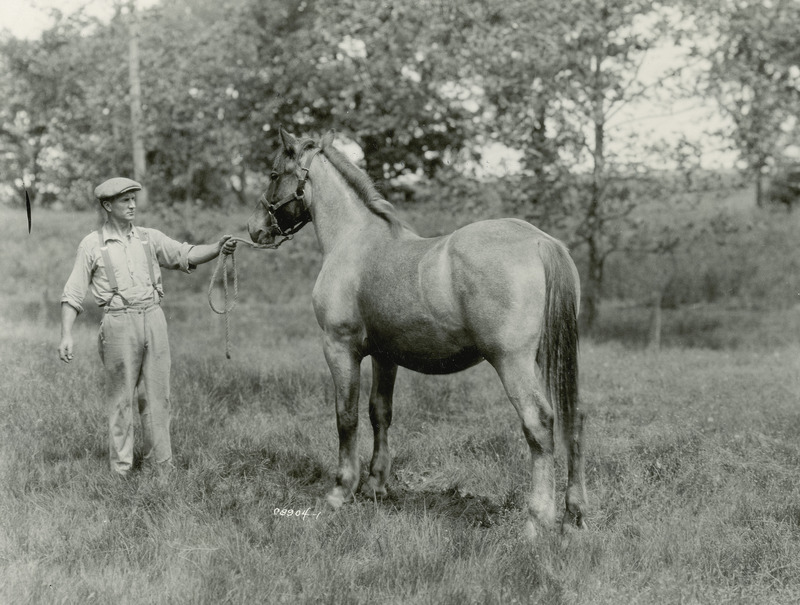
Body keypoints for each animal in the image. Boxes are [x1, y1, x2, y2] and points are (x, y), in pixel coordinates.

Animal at [248, 127, 588, 536]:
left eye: (273, 174)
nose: (255, 229)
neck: (355, 241)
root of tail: (540, 242)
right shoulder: (385, 356)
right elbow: (380, 412)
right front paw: (375, 485)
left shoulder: (339, 348)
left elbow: (346, 417)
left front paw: (341, 490)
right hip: (549, 357)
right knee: (574, 417)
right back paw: (575, 514)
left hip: (513, 362)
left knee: (539, 423)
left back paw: (537, 520)